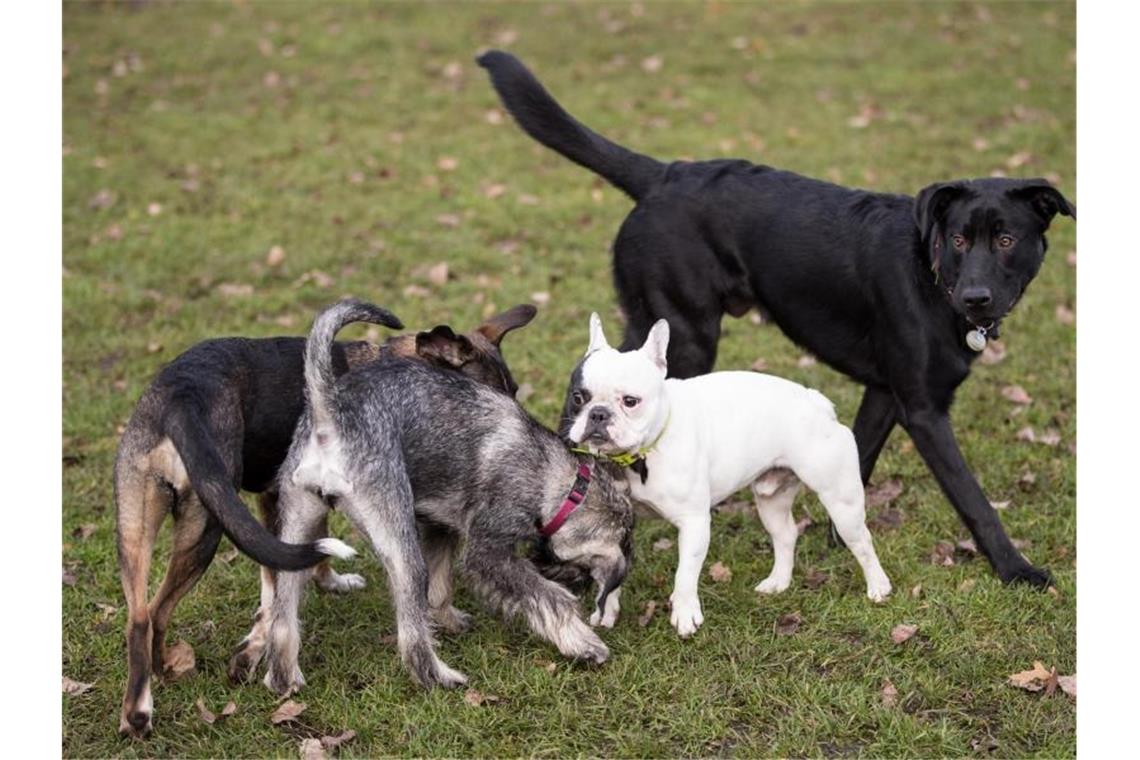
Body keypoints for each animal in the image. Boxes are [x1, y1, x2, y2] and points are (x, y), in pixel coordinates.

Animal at [114, 305, 533, 738]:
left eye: (514, 390)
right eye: (481, 400)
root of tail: (181, 396)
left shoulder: (278, 504)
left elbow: (291, 569)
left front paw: (320, 589)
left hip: (137, 525)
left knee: (143, 615)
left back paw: (146, 697)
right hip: (208, 527)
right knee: (158, 609)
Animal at [246, 300, 638, 692]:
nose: (573, 578)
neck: (562, 483)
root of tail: (329, 414)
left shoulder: (440, 525)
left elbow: (439, 585)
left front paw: (448, 619)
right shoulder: (487, 551)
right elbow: (547, 597)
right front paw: (583, 642)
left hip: (296, 527)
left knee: (283, 613)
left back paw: (284, 679)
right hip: (399, 543)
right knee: (410, 632)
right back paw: (439, 677)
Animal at [483, 52, 1076, 587]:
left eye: (1006, 240)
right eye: (958, 239)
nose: (977, 298)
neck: (930, 275)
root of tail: (665, 174)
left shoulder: (886, 391)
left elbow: (858, 459)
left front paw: (838, 537)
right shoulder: (925, 411)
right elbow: (973, 498)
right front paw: (1016, 569)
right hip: (684, 331)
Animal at [560, 314, 889, 638]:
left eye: (630, 401)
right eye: (578, 397)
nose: (598, 414)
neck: (639, 457)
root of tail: (817, 401)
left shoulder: (694, 522)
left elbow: (685, 574)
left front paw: (685, 614)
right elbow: (613, 572)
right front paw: (607, 610)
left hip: (841, 500)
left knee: (862, 541)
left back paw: (878, 587)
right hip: (771, 499)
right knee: (785, 535)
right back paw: (778, 582)